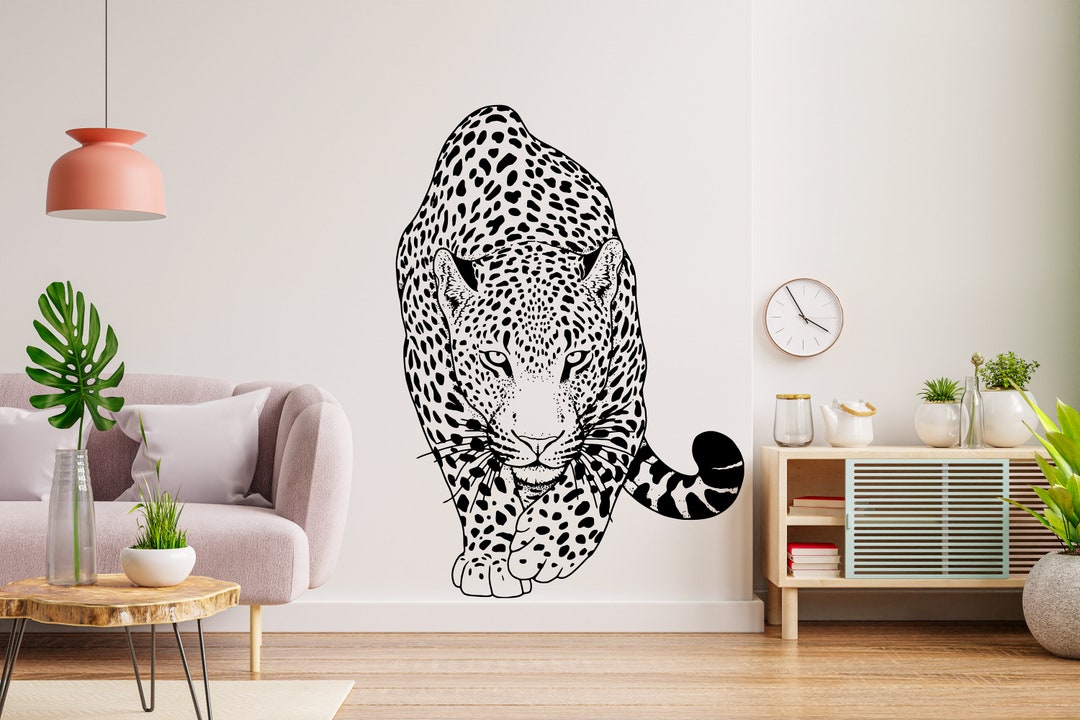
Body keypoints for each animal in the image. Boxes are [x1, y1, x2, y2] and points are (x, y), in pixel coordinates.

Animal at [396, 105, 744, 597]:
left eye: (574, 359)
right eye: (496, 360)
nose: (538, 442)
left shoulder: (623, 408)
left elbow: (592, 482)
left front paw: (542, 549)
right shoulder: (438, 398)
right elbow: (479, 482)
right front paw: (489, 559)